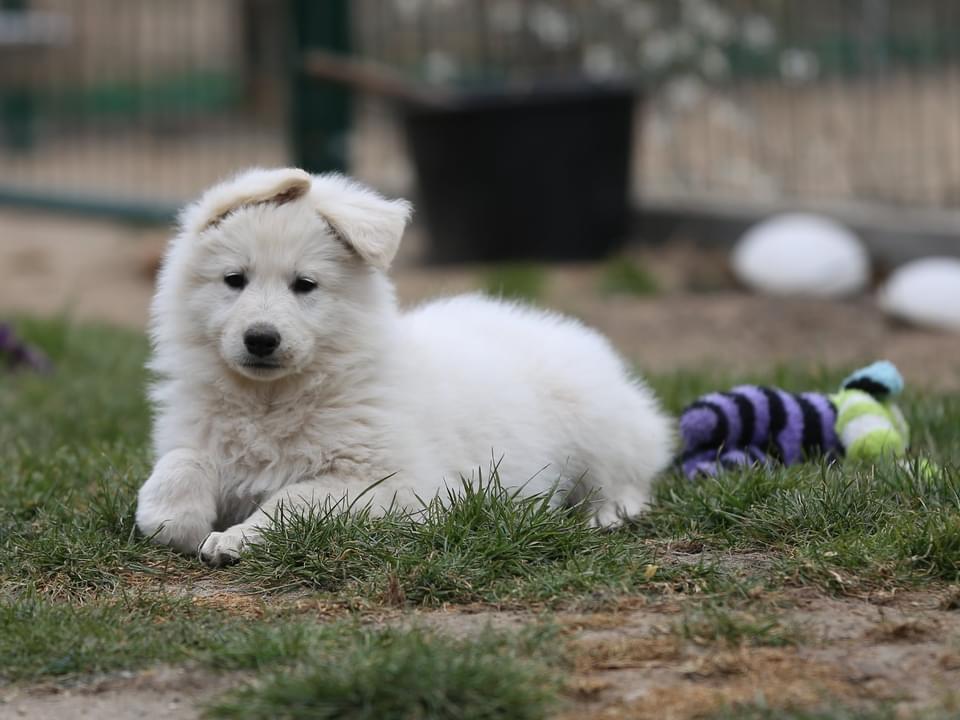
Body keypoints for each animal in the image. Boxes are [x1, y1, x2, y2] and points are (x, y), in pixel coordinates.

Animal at [137, 166, 676, 564]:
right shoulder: (200, 436)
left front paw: (236, 538)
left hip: (599, 427)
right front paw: (175, 519)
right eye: (234, 279)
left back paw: (609, 514)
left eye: (305, 285)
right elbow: (179, 464)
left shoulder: (388, 483)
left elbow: (295, 499)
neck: (271, 400)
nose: (261, 339)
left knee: (627, 477)